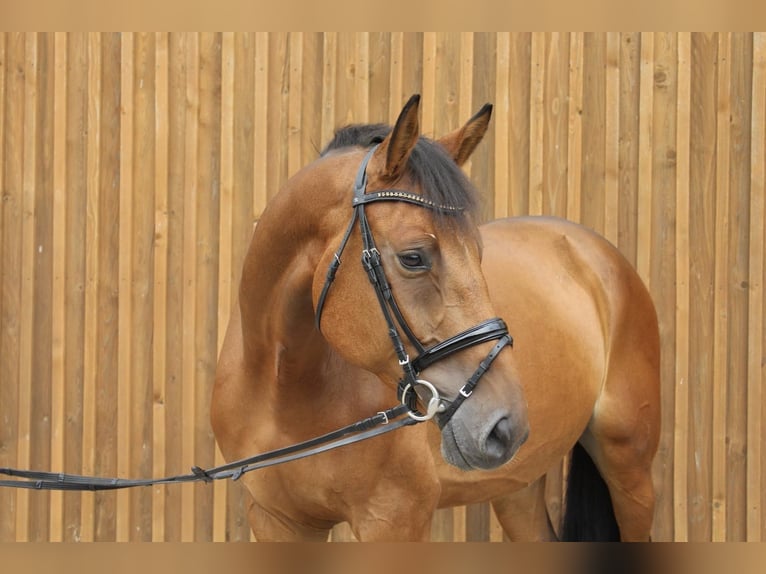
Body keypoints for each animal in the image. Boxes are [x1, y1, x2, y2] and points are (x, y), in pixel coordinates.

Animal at [211, 94, 661, 542]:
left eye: (478, 252)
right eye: (413, 257)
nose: (504, 424)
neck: (284, 392)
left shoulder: (395, 519)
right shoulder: (277, 520)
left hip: (630, 468)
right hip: (517, 486)